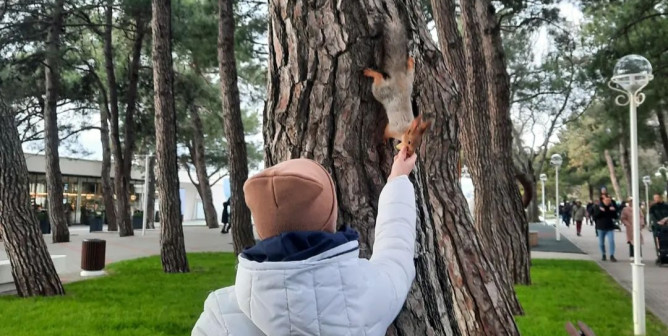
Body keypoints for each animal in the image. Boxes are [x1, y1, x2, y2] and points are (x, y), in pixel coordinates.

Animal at [362, 13, 430, 156]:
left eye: (417, 144)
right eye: (409, 142)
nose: (409, 154)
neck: (405, 129)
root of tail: (398, 78)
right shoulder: (394, 128)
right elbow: (386, 131)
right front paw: (384, 139)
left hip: (409, 80)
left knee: (410, 70)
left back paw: (410, 60)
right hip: (381, 91)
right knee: (378, 80)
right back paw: (371, 73)